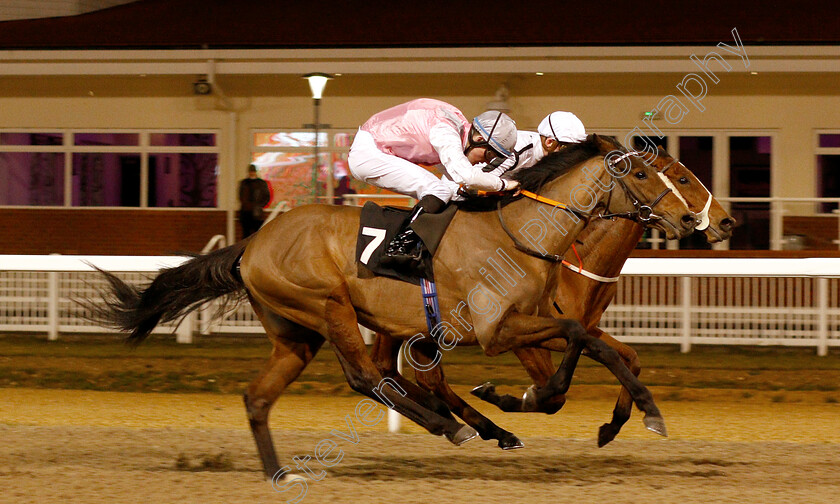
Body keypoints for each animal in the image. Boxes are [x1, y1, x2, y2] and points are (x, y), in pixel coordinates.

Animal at [83, 133, 696, 476]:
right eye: (645, 171)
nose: (691, 217)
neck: (522, 230)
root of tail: (253, 243)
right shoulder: (498, 330)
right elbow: (578, 343)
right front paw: (526, 402)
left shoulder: (535, 320)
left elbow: (600, 345)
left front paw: (637, 413)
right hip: (329, 307)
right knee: (367, 377)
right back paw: (453, 428)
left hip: (297, 335)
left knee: (260, 397)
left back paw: (279, 474)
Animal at [374, 146, 736, 448]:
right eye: (682, 178)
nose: (725, 221)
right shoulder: (522, 334)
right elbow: (554, 396)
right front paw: (514, 397)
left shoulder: (581, 327)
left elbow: (629, 358)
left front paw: (614, 425)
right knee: (408, 374)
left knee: (403, 373)